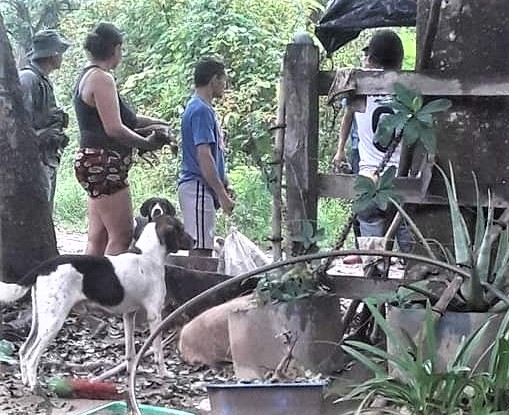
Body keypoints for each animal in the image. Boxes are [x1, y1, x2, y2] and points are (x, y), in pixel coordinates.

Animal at [0, 214, 192, 390]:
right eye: (181, 229)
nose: (195, 241)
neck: (148, 255)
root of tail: (44, 266)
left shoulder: (128, 315)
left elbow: (130, 352)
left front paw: (131, 375)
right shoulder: (154, 315)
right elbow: (158, 350)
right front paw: (164, 373)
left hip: (40, 319)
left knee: (24, 350)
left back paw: (26, 381)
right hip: (53, 321)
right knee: (32, 356)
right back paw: (35, 386)